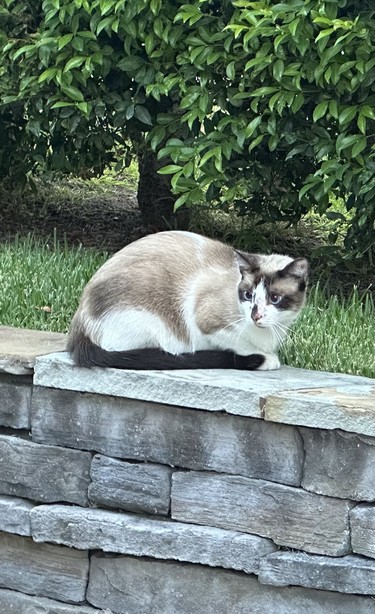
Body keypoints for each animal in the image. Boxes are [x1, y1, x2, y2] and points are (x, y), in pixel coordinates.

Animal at [67, 232, 308, 370]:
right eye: (248, 295)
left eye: (274, 298)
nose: (255, 315)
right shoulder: (207, 323)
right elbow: (240, 344)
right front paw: (267, 358)